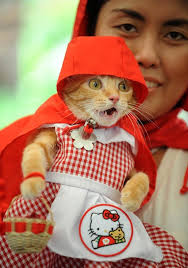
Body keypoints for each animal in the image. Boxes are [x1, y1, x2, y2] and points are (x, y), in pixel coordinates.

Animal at [20, 75, 149, 211]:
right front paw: (31, 181)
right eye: (95, 84)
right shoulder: (48, 140)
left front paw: (133, 197)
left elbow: (144, 177)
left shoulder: (130, 169)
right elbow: (34, 150)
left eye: (123, 87)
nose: (115, 97)